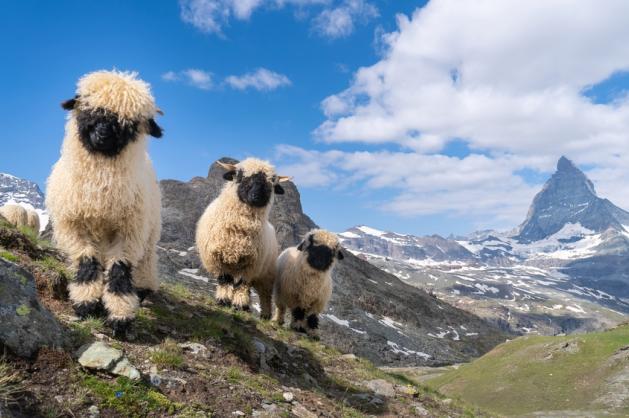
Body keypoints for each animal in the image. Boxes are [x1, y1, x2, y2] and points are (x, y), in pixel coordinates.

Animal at [46, 68, 164, 336]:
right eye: (90, 109)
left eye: (129, 124)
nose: (102, 134)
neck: (100, 189)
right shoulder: (73, 225)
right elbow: (87, 262)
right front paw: (86, 303)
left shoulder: (129, 232)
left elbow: (120, 271)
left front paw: (120, 316)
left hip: (148, 232)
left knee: (145, 261)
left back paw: (142, 289)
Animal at [195, 158, 290, 318]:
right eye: (241, 177)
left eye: (271, 183)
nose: (256, 197)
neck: (239, 230)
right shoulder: (218, 258)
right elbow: (224, 280)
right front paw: (223, 301)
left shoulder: (250, 264)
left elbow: (242, 285)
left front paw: (239, 305)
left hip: (265, 273)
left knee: (263, 294)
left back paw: (264, 314)